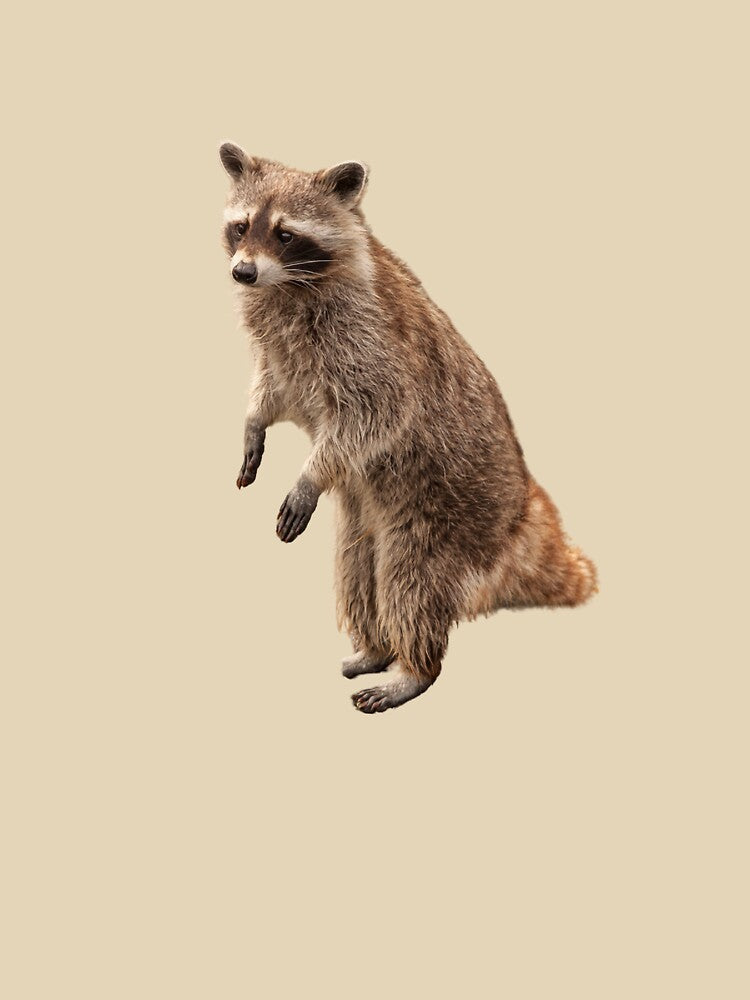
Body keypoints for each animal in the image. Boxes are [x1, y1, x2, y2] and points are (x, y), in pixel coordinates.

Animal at [219, 142, 597, 714]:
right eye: (241, 226)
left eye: (285, 234)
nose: (243, 273)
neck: (287, 286)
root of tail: (520, 519)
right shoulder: (281, 348)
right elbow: (273, 389)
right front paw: (253, 422)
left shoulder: (368, 339)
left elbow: (377, 411)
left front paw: (312, 473)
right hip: (365, 516)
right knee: (356, 569)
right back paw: (375, 646)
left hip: (443, 518)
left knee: (409, 582)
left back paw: (413, 668)